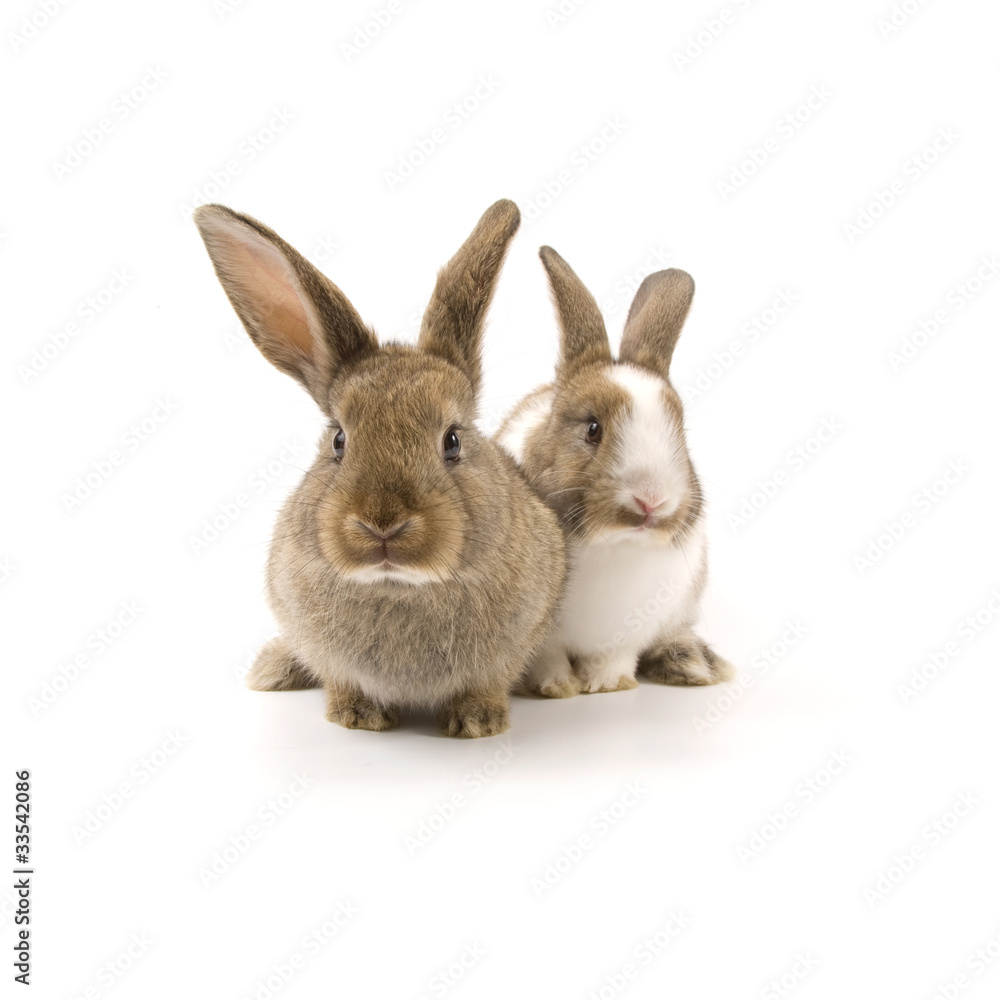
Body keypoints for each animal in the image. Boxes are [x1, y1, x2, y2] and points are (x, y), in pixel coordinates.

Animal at [194, 200, 566, 737]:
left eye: (452, 441)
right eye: (338, 440)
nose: (382, 523)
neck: (399, 586)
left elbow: (487, 684)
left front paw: (478, 722)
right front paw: (357, 716)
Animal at [496, 246, 733, 697]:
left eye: (679, 431)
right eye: (593, 428)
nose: (651, 500)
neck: (614, 543)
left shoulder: (631, 631)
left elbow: (615, 657)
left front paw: (608, 685)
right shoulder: (543, 636)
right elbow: (548, 659)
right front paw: (557, 687)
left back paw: (691, 663)